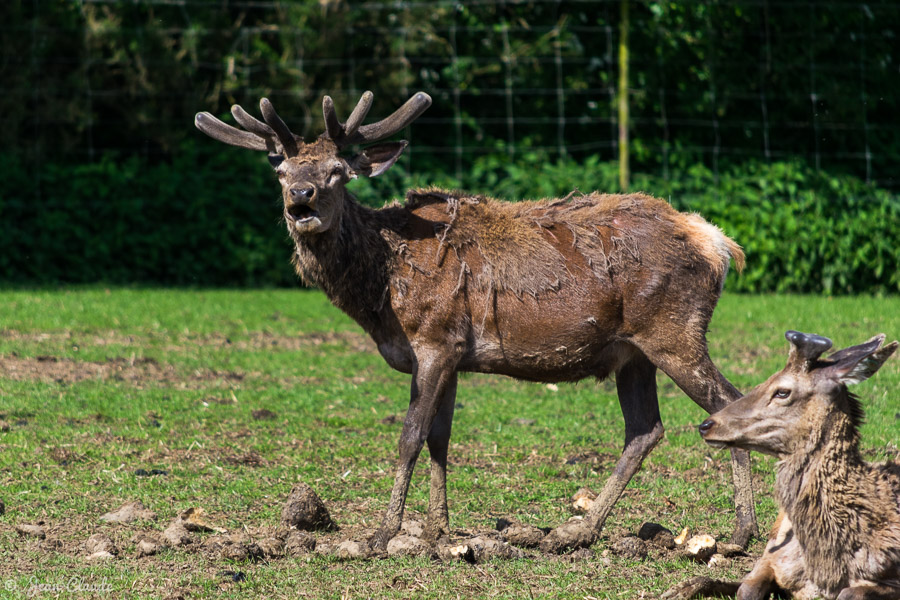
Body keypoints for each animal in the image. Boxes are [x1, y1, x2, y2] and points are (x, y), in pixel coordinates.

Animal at [193, 90, 759, 553]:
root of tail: (718, 244)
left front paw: (384, 532)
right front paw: (437, 529)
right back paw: (579, 531)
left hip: (673, 330)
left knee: (724, 402)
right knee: (644, 429)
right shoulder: (452, 354)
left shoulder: (435, 338)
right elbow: (440, 438)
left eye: (336, 170)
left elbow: (410, 435)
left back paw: (739, 534)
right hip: (633, 351)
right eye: (282, 173)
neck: (381, 289)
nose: (301, 201)